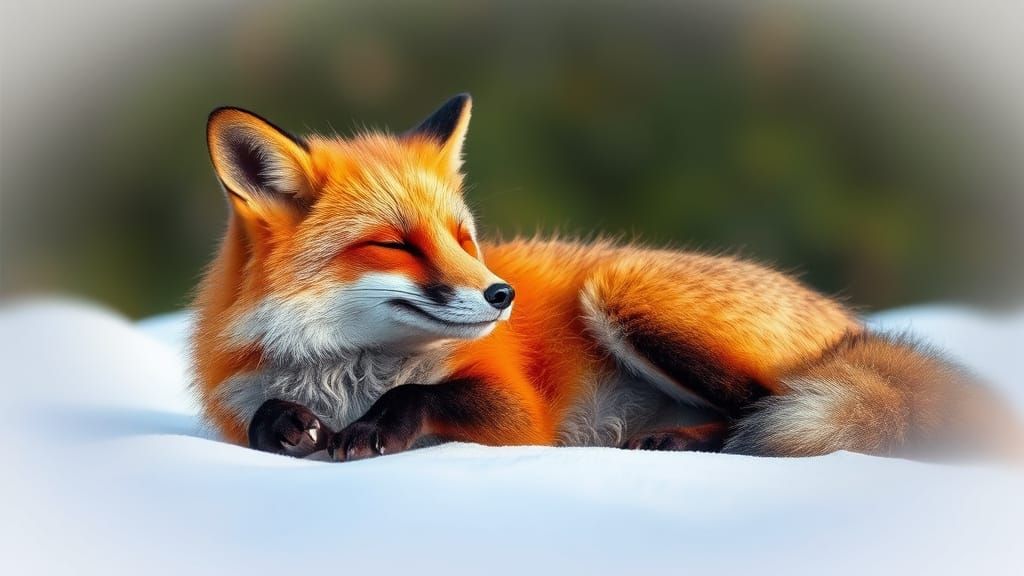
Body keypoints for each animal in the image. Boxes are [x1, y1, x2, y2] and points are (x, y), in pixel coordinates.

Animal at [192, 93, 1019, 462]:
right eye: (394, 244)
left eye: (463, 238)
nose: (502, 295)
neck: (344, 371)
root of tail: (844, 319)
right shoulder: (236, 405)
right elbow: (264, 423)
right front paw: (292, 426)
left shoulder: (517, 412)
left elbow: (415, 395)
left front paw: (369, 429)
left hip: (627, 296)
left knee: (766, 407)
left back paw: (684, 440)